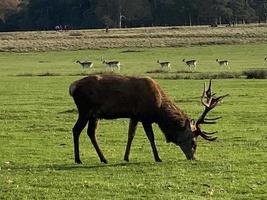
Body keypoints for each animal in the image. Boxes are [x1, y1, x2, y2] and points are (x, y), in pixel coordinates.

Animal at [68, 75, 228, 164]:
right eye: (194, 142)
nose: (193, 157)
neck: (158, 108)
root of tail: (72, 87)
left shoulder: (134, 115)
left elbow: (130, 135)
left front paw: (126, 157)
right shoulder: (145, 116)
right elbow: (151, 137)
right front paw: (157, 158)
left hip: (94, 114)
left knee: (90, 132)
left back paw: (103, 158)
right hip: (85, 109)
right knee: (76, 130)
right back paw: (78, 159)